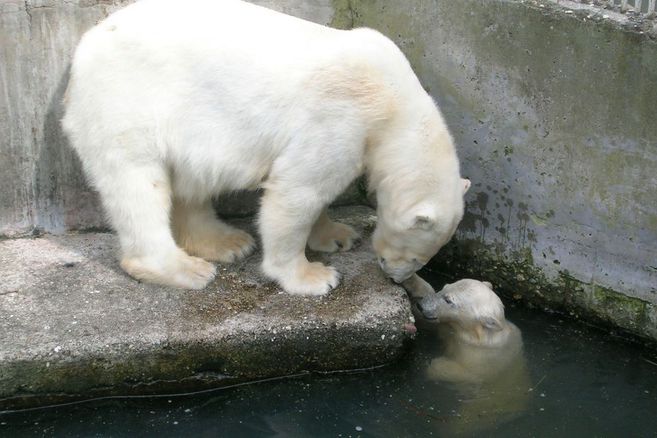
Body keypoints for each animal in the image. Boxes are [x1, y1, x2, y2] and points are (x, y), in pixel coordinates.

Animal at [62, 0, 466, 296]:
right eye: (415, 255)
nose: (397, 277)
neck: (393, 102)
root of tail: (86, 46)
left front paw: (338, 236)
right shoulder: (341, 117)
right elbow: (298, 191)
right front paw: (313, 277)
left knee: (190, 179)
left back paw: (227, 242)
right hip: (127, 100)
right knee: (137, 182)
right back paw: (184, 269)